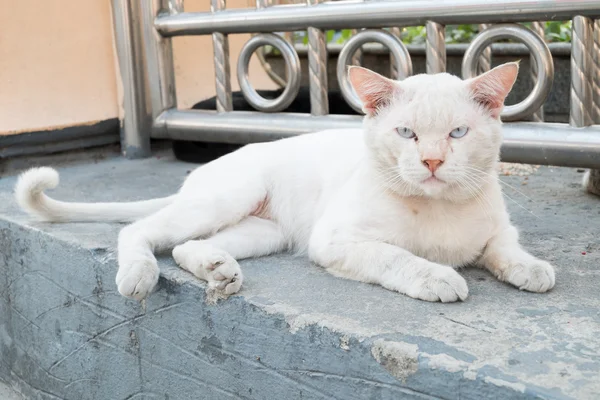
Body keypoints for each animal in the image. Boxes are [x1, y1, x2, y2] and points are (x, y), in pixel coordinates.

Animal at [14, 62, 556, 302]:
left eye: (458, 133)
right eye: (407, 133)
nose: (432, 161)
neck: (440, 209)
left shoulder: (498, 230)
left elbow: (505, 247)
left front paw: (530, 268)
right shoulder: (336, 240)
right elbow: (397, 257)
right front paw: (438, 276)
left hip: (264, 231)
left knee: (189, 246)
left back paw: (218, 270)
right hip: (228, 198)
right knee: (139, 231)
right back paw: (139, 274)